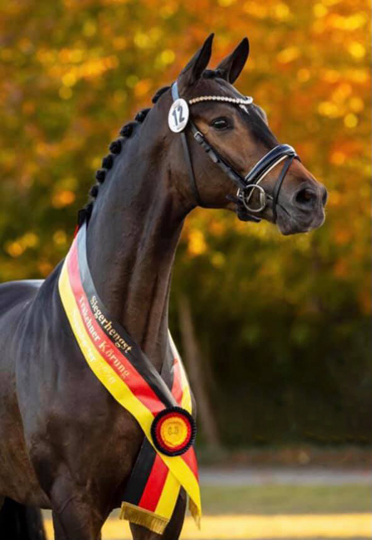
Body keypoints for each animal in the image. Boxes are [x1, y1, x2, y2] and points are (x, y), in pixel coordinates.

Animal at [0, 34, 326, 540]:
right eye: (221, 121)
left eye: (263, 116)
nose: (310, 198)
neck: (123, 330)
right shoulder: (74, 505)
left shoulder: (161, 505)